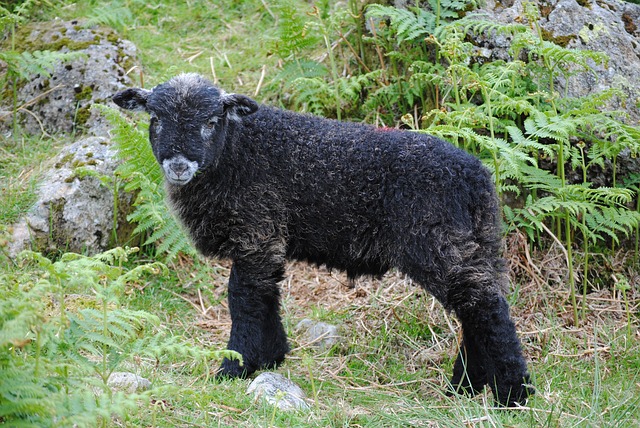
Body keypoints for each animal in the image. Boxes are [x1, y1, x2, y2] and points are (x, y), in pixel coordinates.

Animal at [114, 73, 536, 408]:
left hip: (437, 240)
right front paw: (271, 357)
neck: (235, 151)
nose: (178, 165)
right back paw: (466, 386)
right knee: (477, 307)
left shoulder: (256, 231)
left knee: (486, 308)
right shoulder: (267, 238)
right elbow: (265, 295)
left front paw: (235, 366)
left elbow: (244, 299)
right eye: (155, 118)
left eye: (212, 121)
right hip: (478, 242)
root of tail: (476, 178)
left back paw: (513, 394)